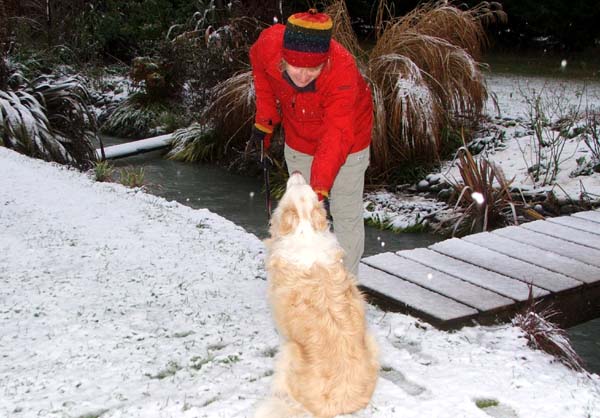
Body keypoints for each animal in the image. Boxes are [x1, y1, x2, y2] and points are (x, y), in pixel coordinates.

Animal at [254, 171, 378, 416]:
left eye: (290, 189)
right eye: (311, 190)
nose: (297, 172)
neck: (305, 229)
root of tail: (337, 407)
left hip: (288, 352)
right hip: (371, 339)